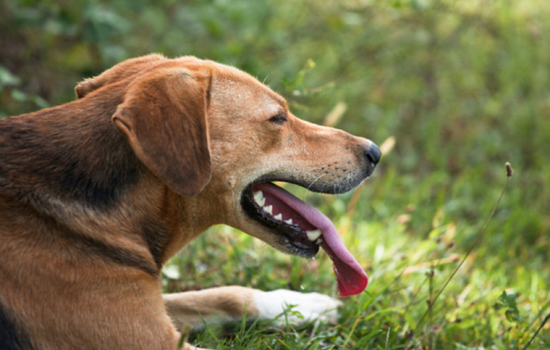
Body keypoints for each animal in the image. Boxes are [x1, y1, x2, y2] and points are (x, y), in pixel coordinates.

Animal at [0, 54, 382, 350]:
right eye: (278, 117)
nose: (376, 152)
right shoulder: (154, 338)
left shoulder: (153, 309)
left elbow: (225, 294)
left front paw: (301, 305)